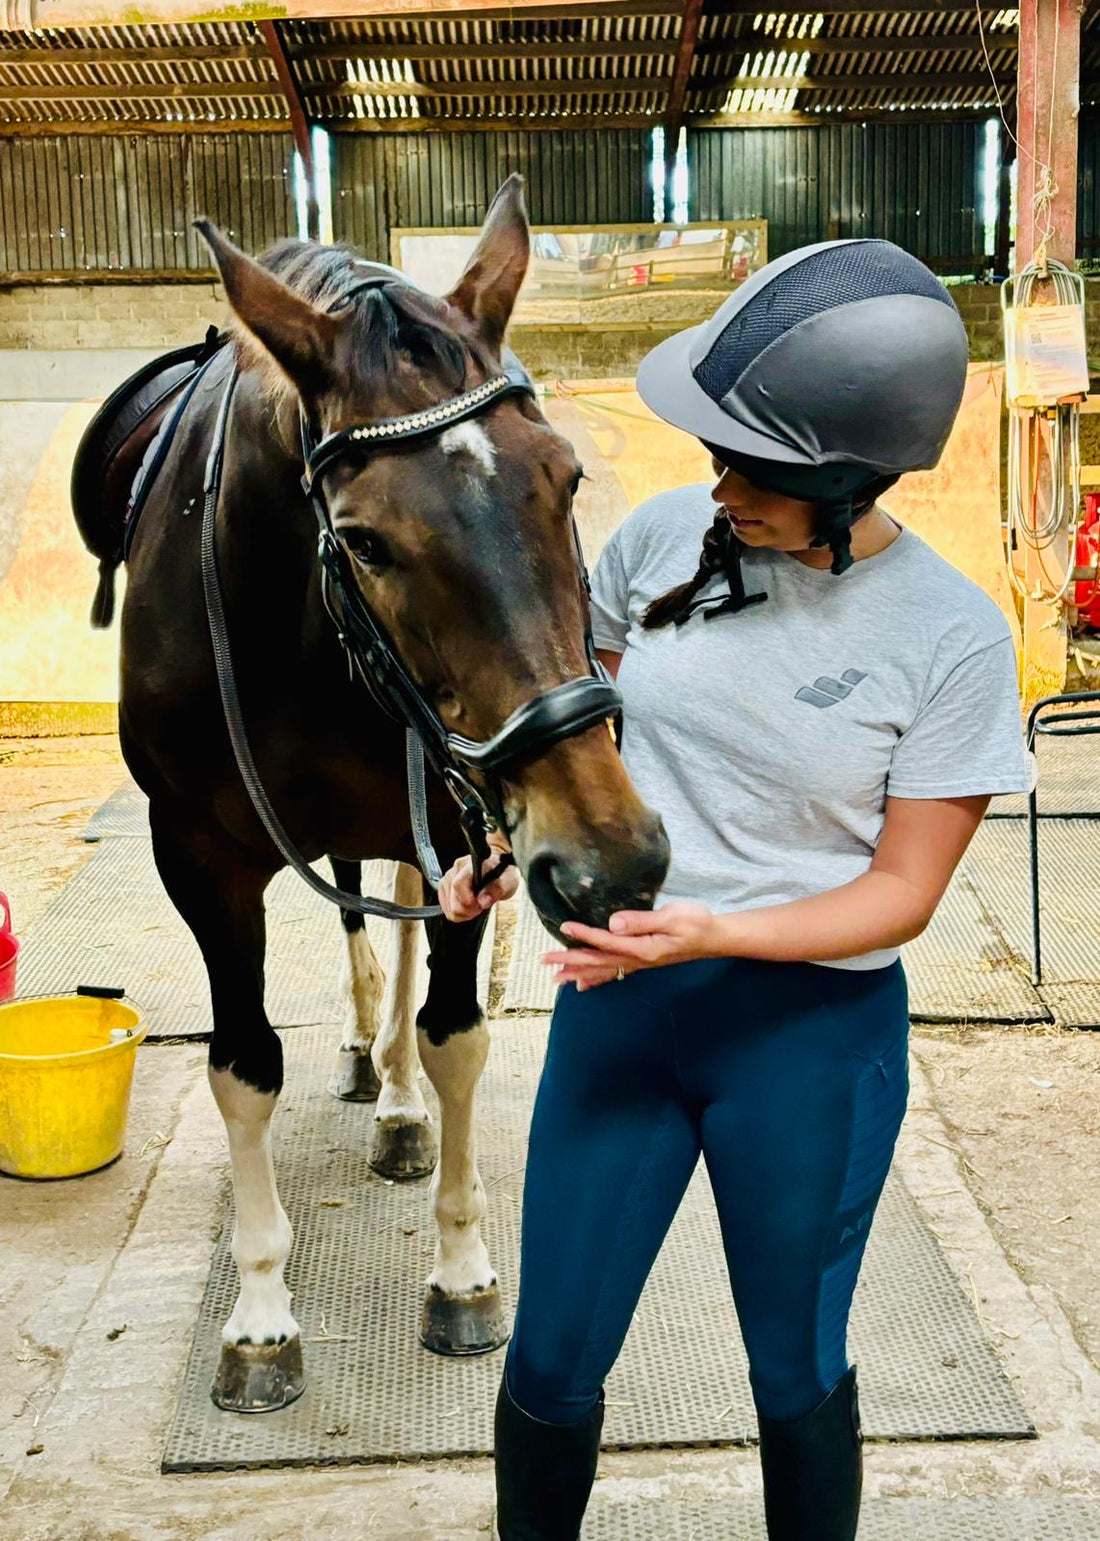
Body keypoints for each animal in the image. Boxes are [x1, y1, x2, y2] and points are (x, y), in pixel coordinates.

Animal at [81, 174, 665, 1411]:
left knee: (390, 927)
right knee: (359, 920)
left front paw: (461, 1268)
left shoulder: (462, 821)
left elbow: (451, 1034)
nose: (614, 857)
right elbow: (244, 1065)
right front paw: (259, 1315)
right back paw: (362, 1056)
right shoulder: (197, 858)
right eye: (363, 539)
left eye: (567, 480)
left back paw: (394, 1098)